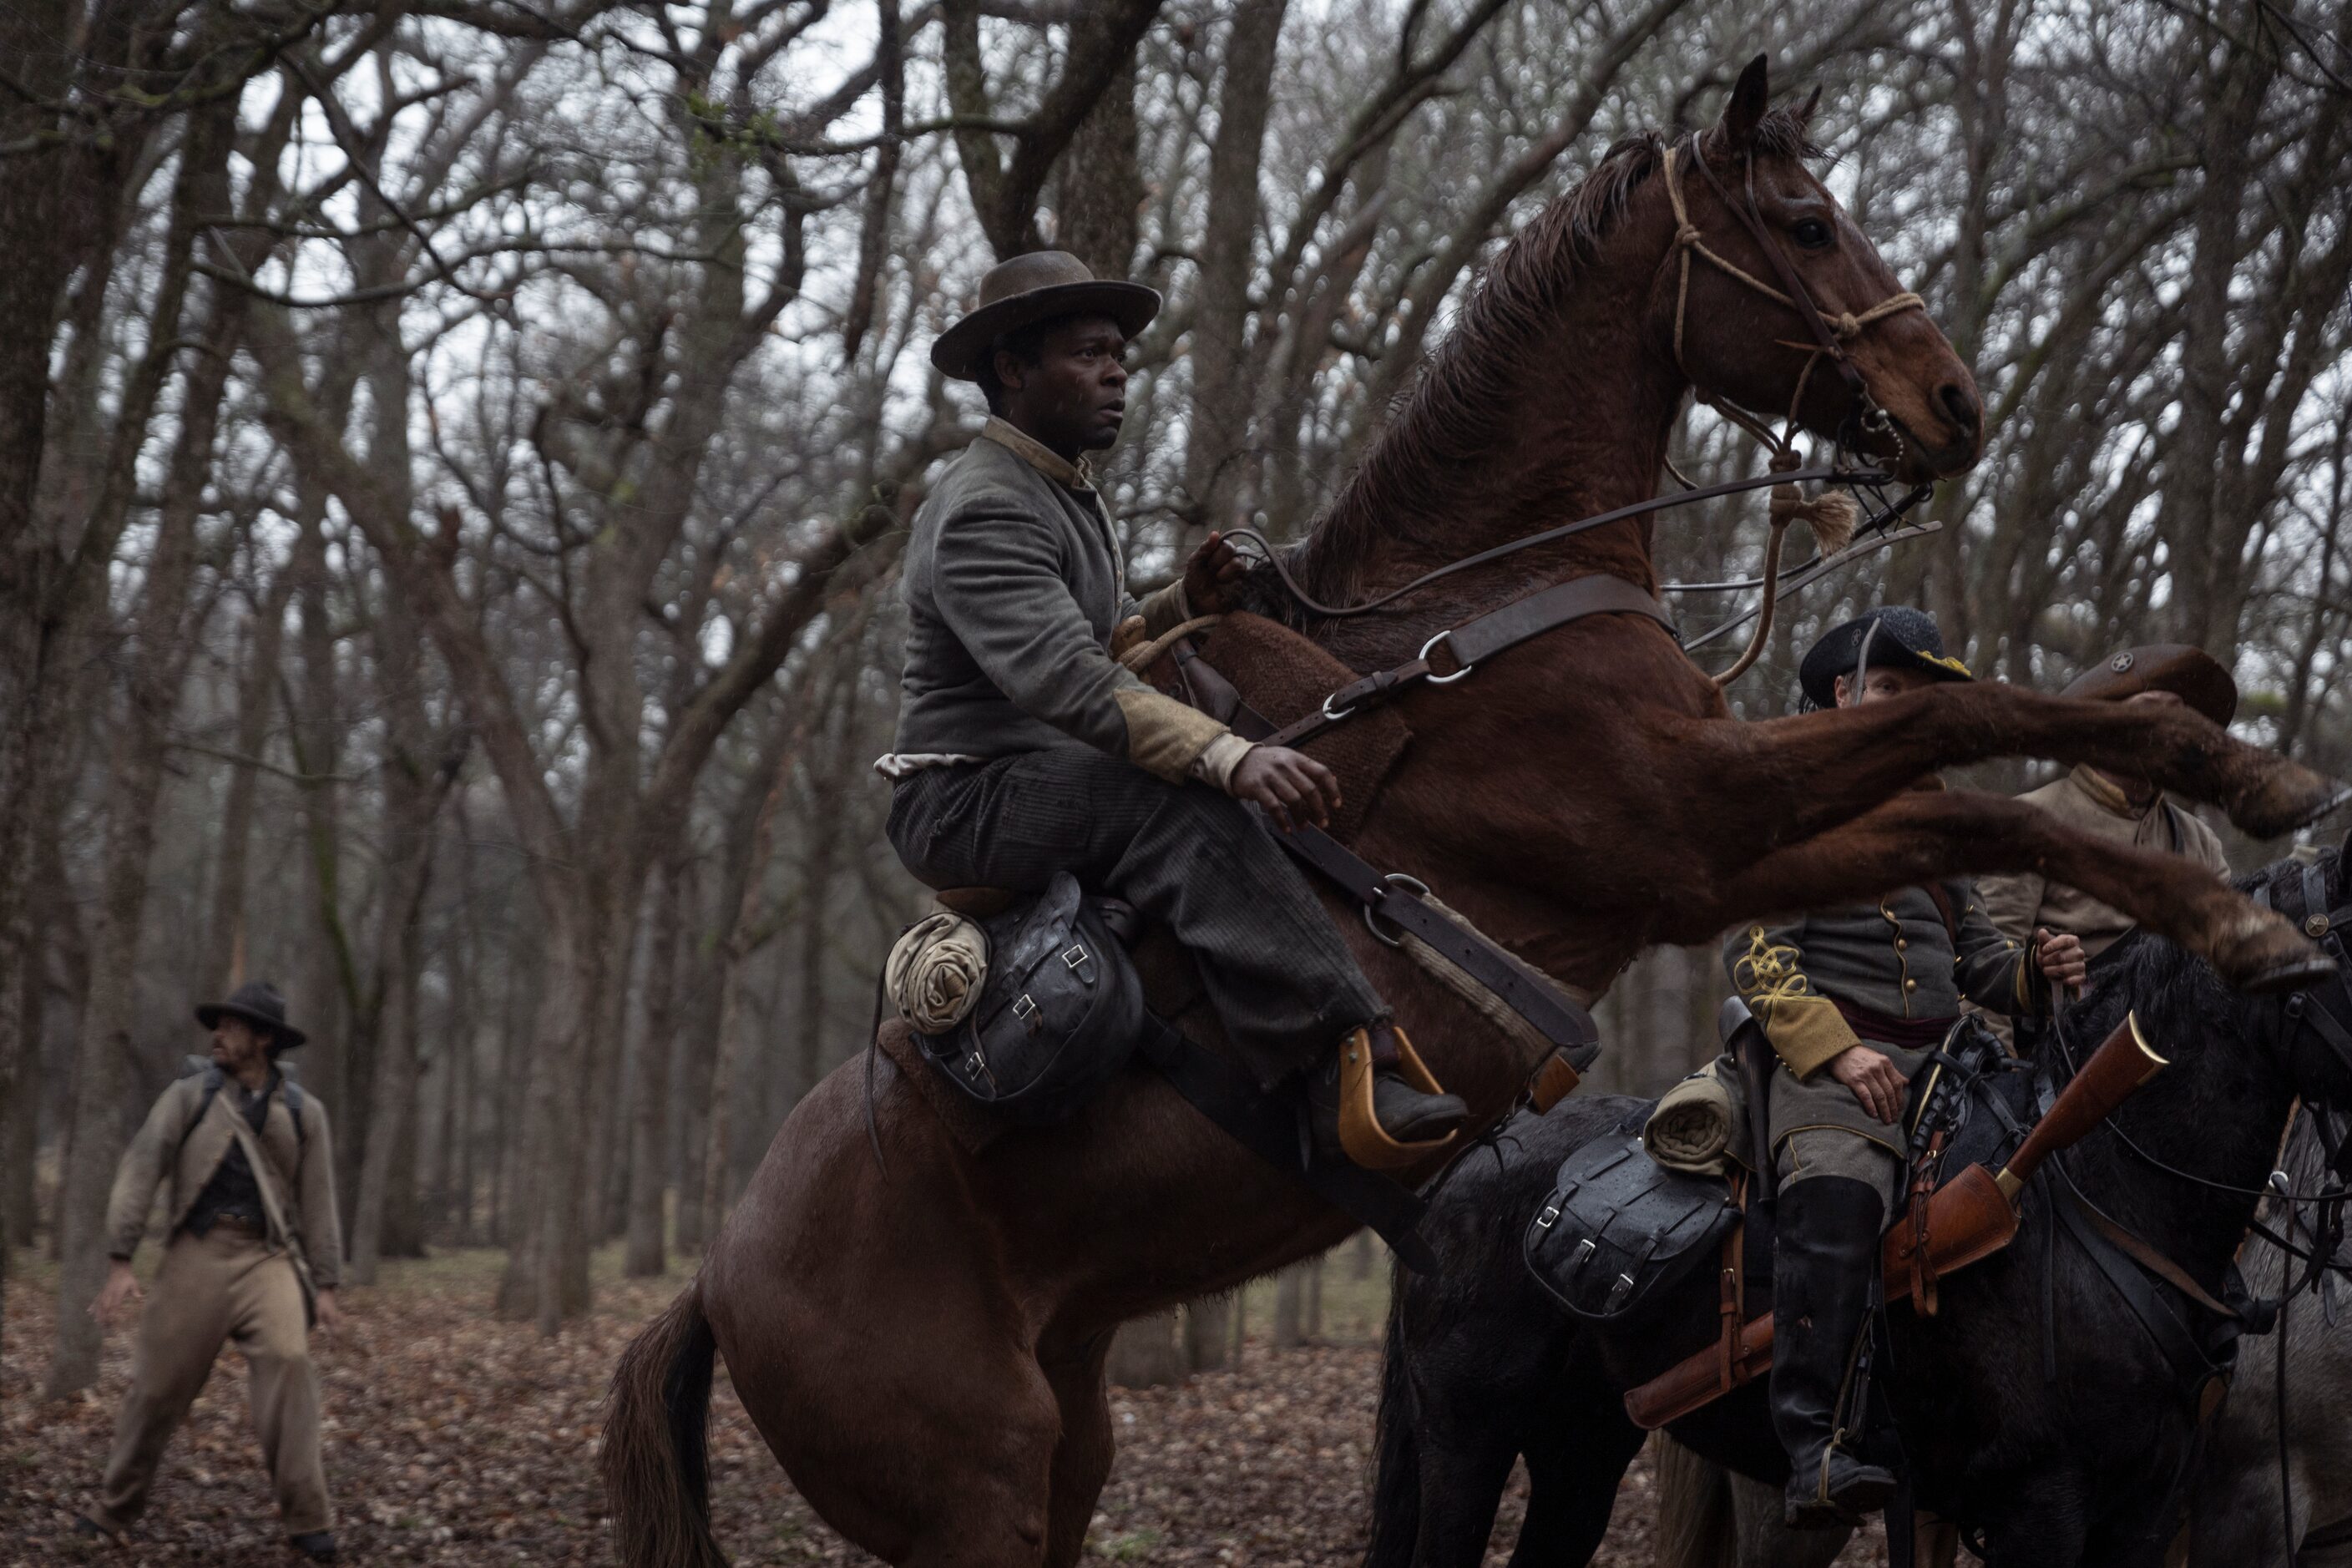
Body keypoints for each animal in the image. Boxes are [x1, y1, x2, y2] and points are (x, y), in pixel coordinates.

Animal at [1373, 846, 2352, 1568]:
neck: (2107, 1195)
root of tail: (1477, 1155)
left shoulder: (2145, 1514)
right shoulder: (2045, 1504)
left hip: (1581, 1448)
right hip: (1471, 1440)